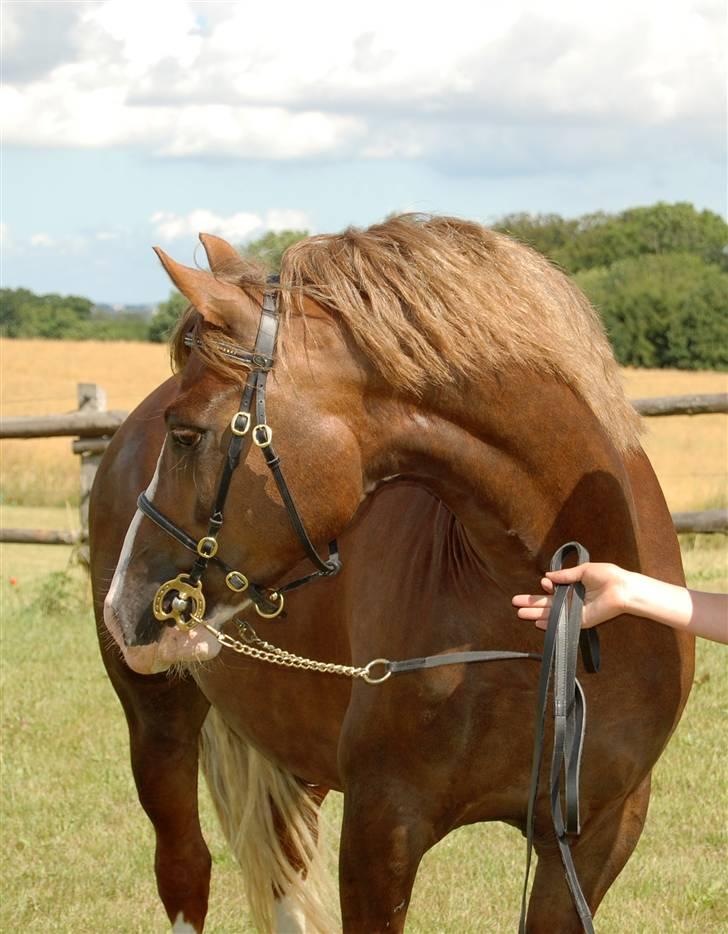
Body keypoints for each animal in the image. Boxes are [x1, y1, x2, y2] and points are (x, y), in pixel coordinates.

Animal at [92, 214, 692, 934]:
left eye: (184, 434)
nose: (125, 605)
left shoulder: (597, 835)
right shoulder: (383, 828)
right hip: (157, 720)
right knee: (186, 866)